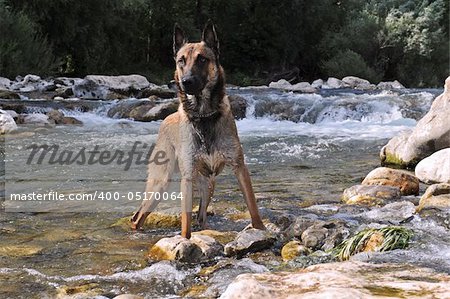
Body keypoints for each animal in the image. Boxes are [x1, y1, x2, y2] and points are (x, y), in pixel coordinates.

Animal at [130, 20, 266, 239]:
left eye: (202, 59)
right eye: (181, 60)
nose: (186, 82)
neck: (203, 116)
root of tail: (166, 118)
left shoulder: (240, 168)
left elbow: (252, 206)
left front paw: (260, 229)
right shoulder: (187, 179)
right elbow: (186, 222)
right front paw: (185, 241)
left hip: (209, 184)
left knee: (201, 215)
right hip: (161, 183)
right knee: (138, 216)